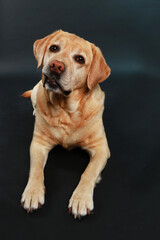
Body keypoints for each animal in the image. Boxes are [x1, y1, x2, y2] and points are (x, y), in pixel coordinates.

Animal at [21, 29, 111, 218]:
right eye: (54, 48)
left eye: (80, 59)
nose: (56, 65)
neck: (65, 110)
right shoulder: (38, 143)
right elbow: (36, 169)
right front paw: (33, 192)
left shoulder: (101, 148)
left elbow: (89, 172)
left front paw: (81, 198)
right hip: (36, 90)